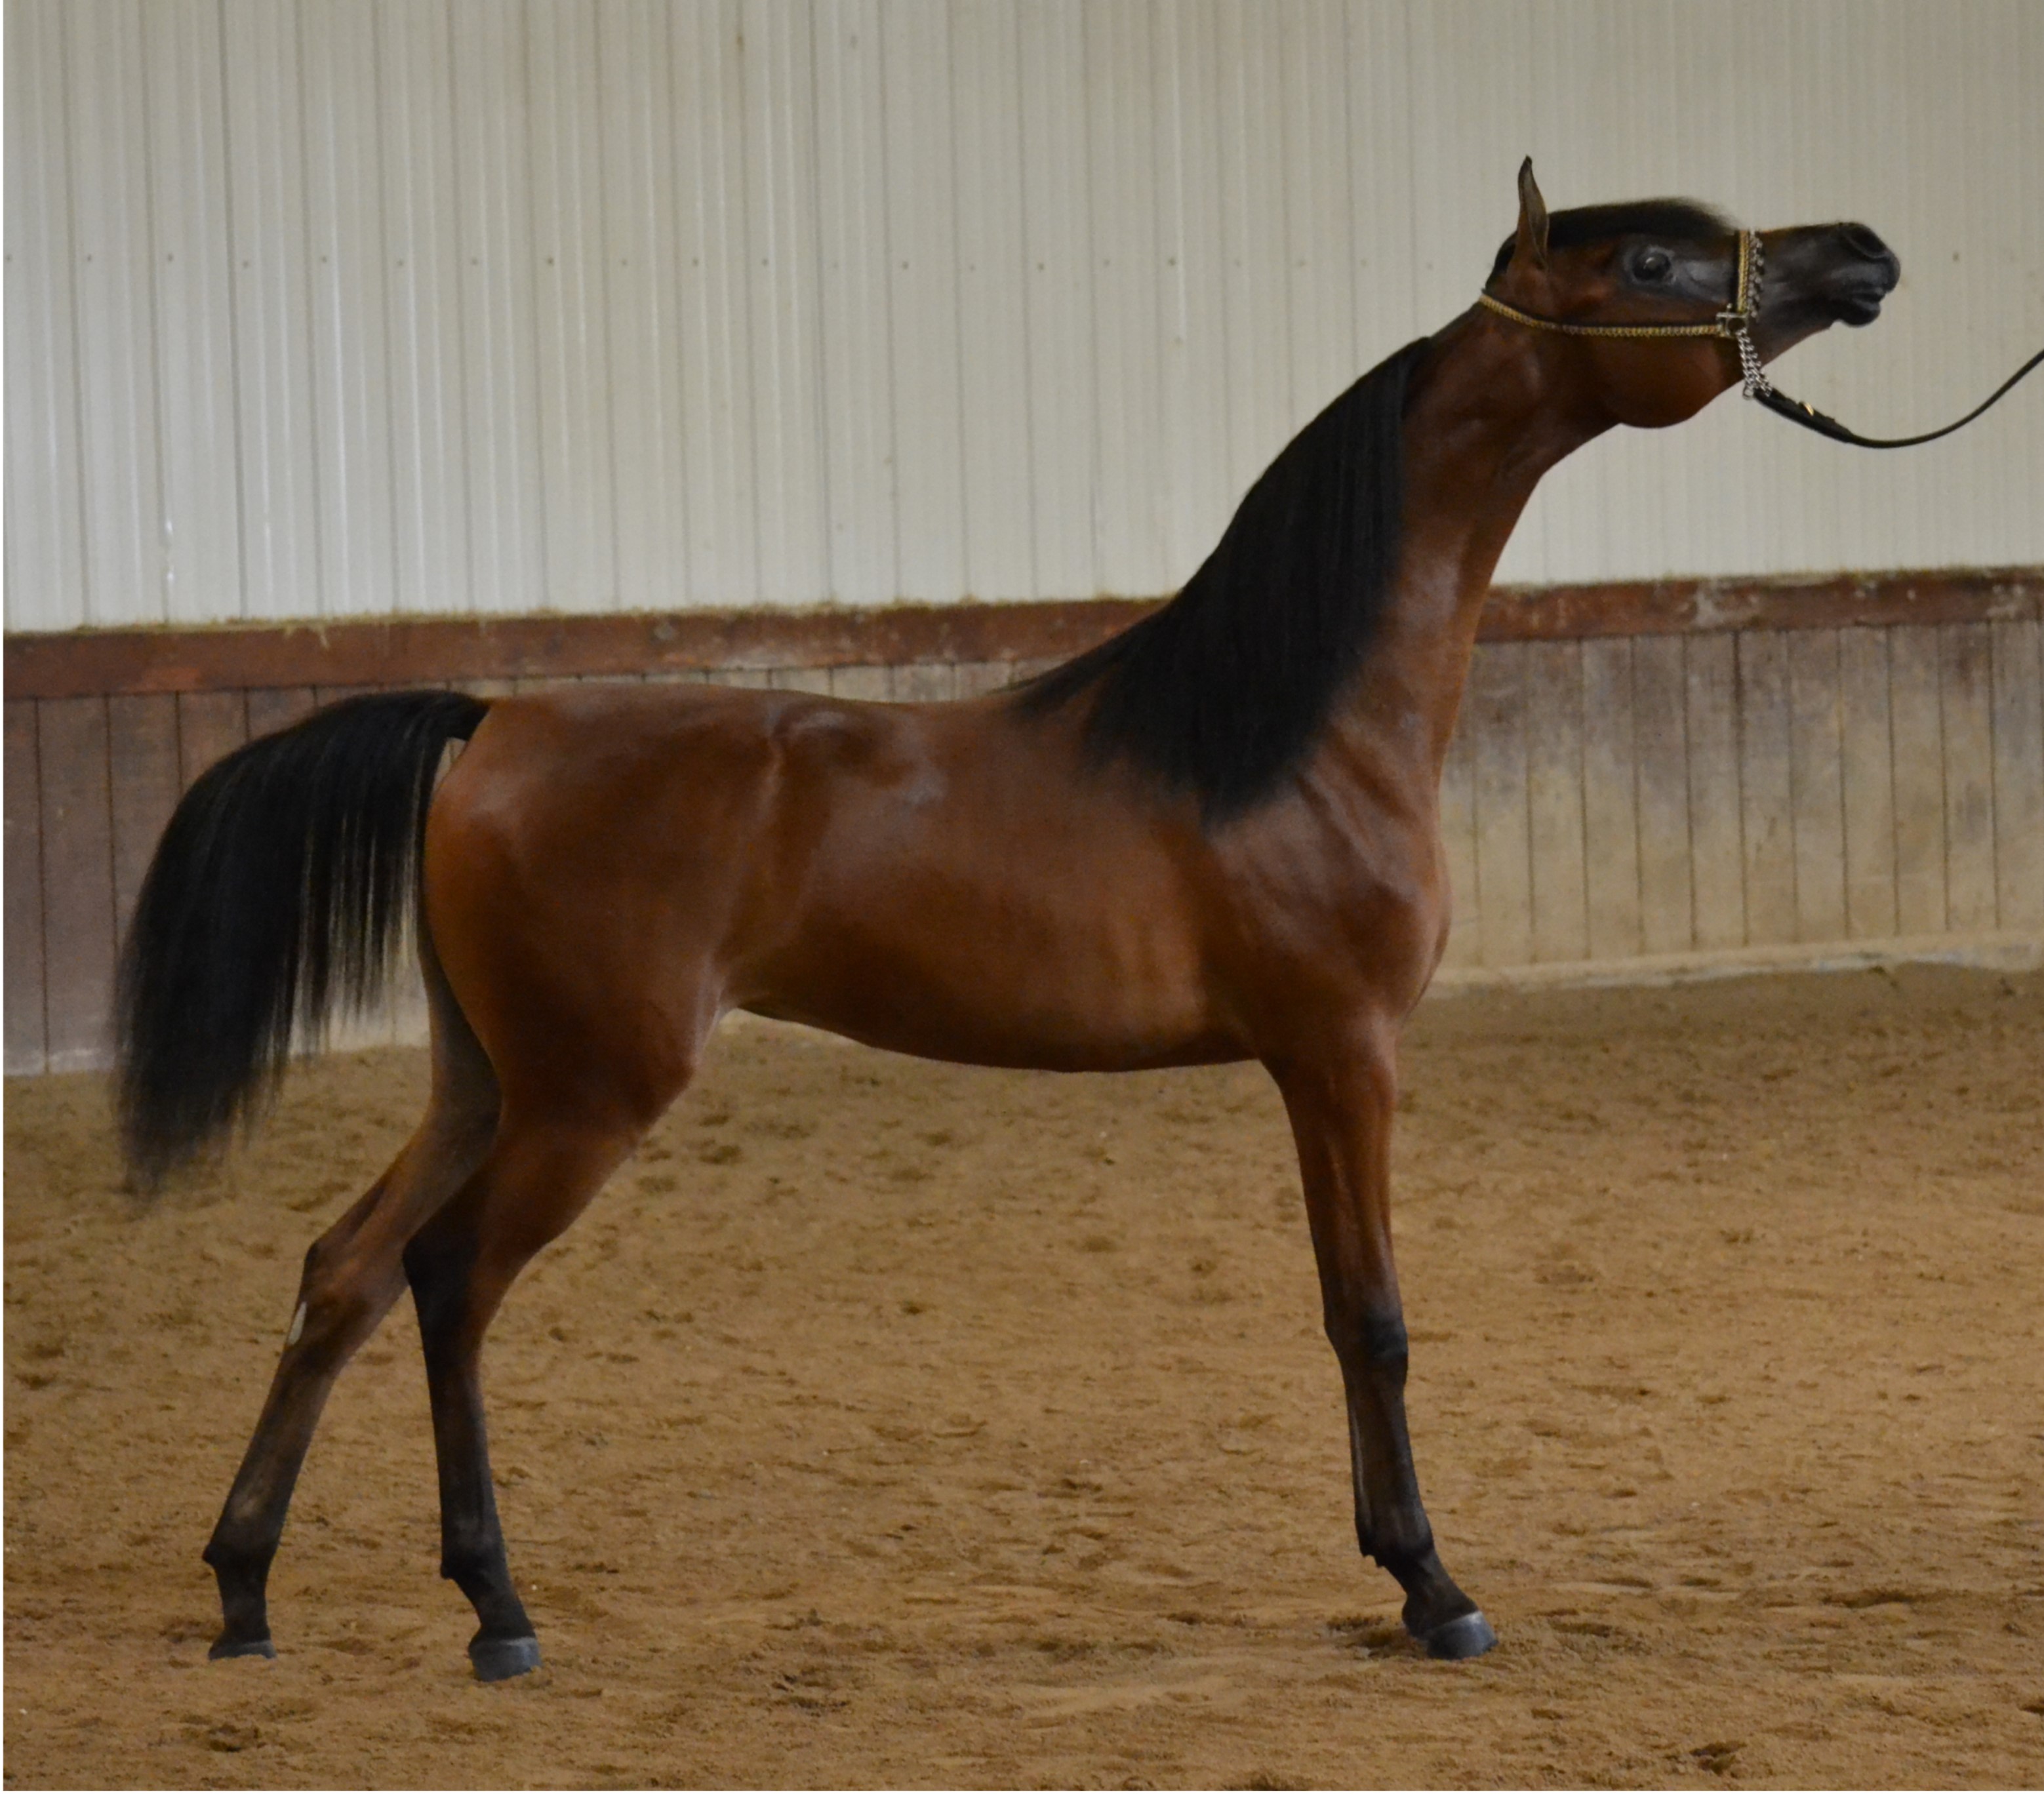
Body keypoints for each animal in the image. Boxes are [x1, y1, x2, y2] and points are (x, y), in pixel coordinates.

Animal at [115, 161, 1896, 1675]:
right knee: (448, 1283)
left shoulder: (1316, 1063)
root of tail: (491, 721)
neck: (1295, 723)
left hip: (482, 1079)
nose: (1860, 255)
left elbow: (1352, 1315)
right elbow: (1370, 1319)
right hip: (583, 1098)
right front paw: (1433, 1586)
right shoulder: (1341, 1056)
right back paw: (494, 1607)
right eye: (1650, 262)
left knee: (343, 1269)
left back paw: (245, 1591)